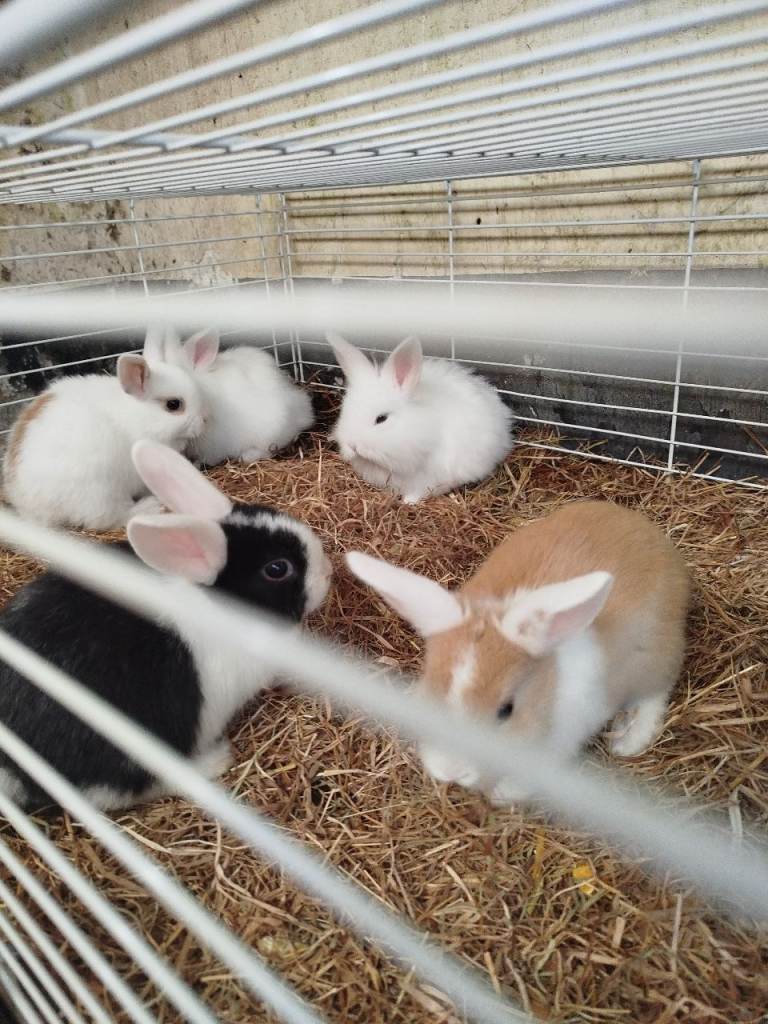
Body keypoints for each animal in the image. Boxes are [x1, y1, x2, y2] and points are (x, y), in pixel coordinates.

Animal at [2, 325, 210, 531]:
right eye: (173, 405)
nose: (203, 422)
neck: (137, 417)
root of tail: (25, 502)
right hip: (99, 492)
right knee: (109, 518)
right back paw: (149, 507)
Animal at [327, 332, 513, 503]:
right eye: (345, 411)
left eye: (381, 418)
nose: (352, 445)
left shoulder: (430, 478)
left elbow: (419, 493)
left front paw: (408, 503)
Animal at [346, 500, 689, 808]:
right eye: (429, 691)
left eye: (505, 711)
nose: (450, 771)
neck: (546, 694)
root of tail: (653, 537)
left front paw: (500, 795)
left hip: (654, 659)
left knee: (655, 696)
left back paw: (628, 742)